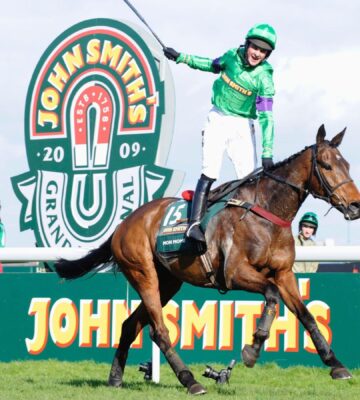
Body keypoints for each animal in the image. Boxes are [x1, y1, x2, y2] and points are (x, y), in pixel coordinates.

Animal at [54, 125, 360, 394]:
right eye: (327, 165)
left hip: (168, 282)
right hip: (143, 273)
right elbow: (272, 296)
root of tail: (123, 224)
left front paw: (336, 365)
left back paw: (115, 378)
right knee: (159, 331)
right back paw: (190, 380)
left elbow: (306, 315)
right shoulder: (236, 273)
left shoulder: (284, 274)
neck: (266, 211)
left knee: (131, 325)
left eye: (347, 165)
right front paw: (253, 348)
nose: (356, 205)